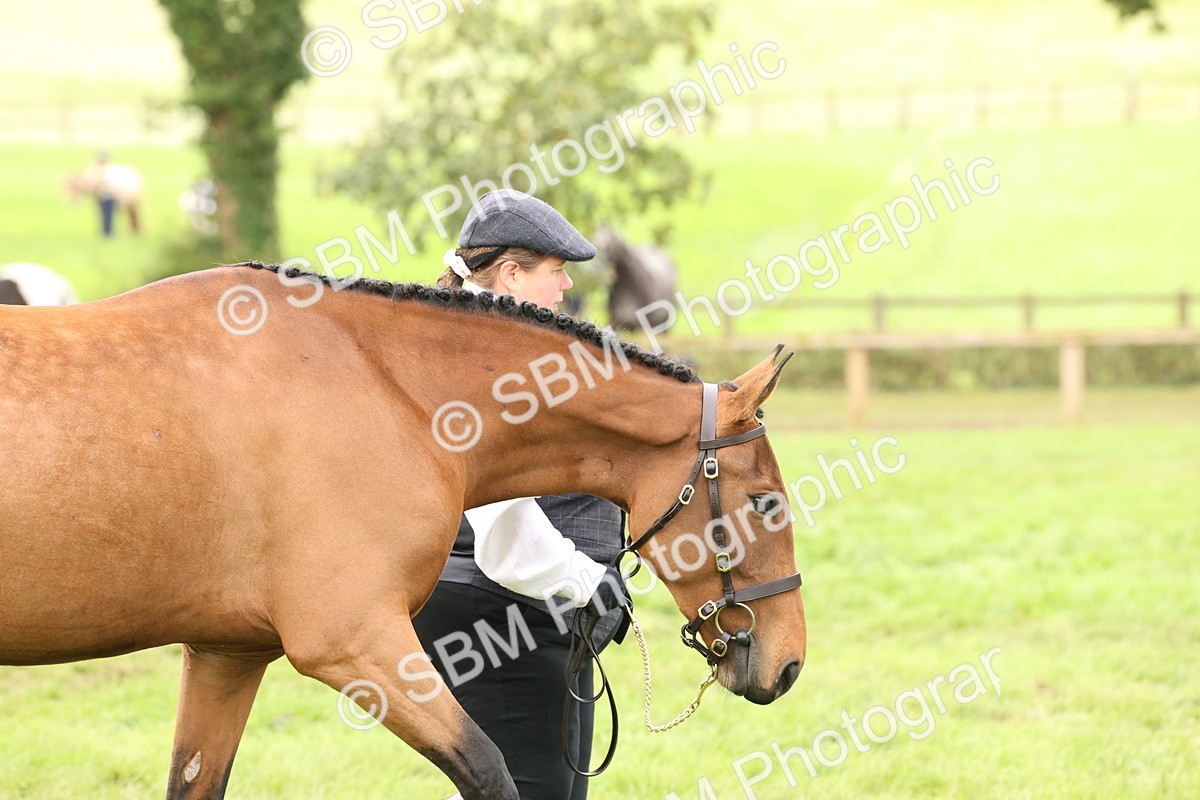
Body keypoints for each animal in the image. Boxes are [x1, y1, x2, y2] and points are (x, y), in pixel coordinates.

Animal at [0, 263, 806, 799]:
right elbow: (489, 769)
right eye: (766, 502)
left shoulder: (228, 653)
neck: (391, 391)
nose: (789, 664)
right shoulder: (356, 643)